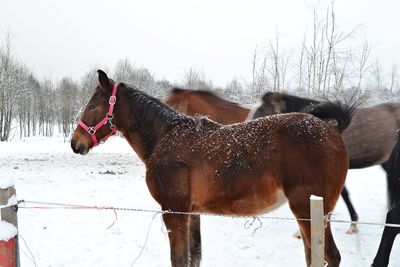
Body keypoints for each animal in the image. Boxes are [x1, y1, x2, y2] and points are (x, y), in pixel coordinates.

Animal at [72, 70, 354, 266]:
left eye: (92, 106)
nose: (76, 142)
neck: (166, 136)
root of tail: (333, 129)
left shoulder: (173, 212)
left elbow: (179, 259)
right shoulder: (192, 213)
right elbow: (194, 256)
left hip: (308, 211)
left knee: (330, 256)